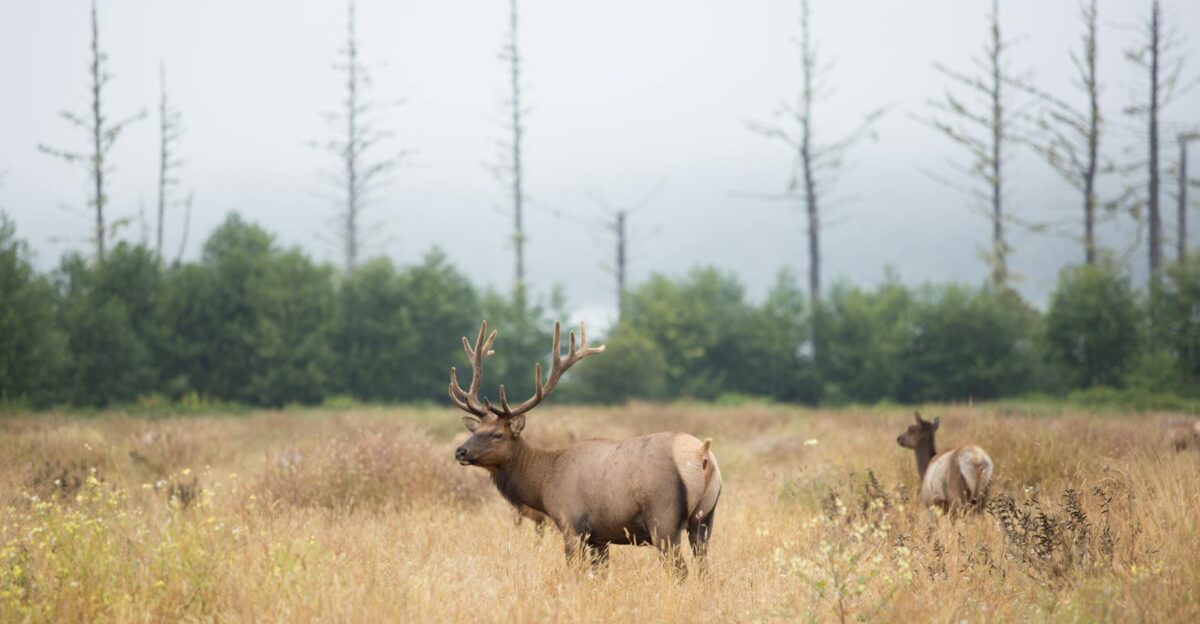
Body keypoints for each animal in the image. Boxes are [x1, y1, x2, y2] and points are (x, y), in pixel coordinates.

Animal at [450, 320, 721, 575]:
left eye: (497, 435)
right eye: (474, 430)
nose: (460, 451)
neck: (544, 485)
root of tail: (702, 453)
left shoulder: (571, 523)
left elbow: (576, 571)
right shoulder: (599, 537)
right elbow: (600, 573)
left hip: (663, 518)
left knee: (681, 571)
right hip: (705, 518)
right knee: (705, 570)